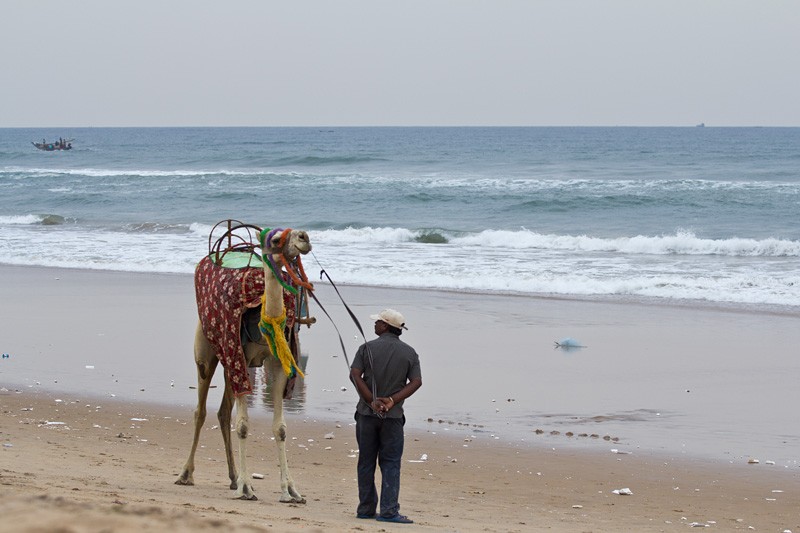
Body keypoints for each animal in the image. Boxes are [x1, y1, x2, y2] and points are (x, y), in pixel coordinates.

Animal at [177, 221, 314, 502]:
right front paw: (247, 487)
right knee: (200, 410)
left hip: (233, 365)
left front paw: (290, 490)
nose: (304, 238)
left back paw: (231, 477)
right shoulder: (237, 354)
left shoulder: (276, 363)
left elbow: (280, 428)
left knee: (222, 412)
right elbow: (242, 426)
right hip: (207, 353)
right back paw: (186, 473)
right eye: (275, 240)